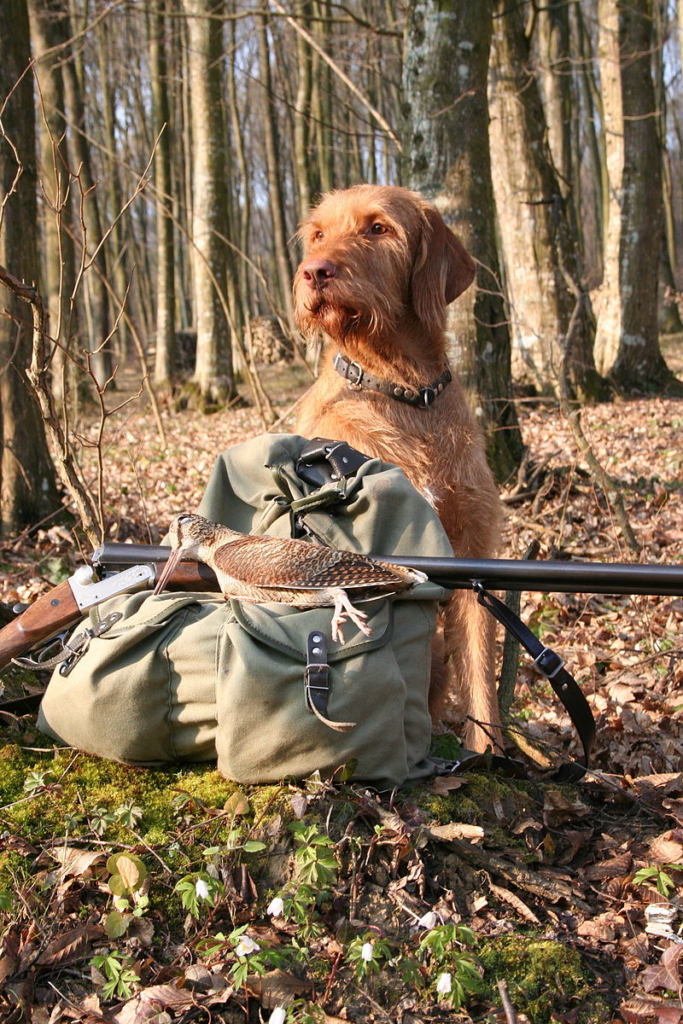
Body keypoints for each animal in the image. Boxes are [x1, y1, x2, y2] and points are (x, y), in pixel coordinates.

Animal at [290, 186, 505, 753]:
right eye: (318, 233)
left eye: (378, 228)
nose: (313, 271)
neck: (403, 391)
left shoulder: (474, 544)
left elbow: (479, 664)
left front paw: (488, 754)